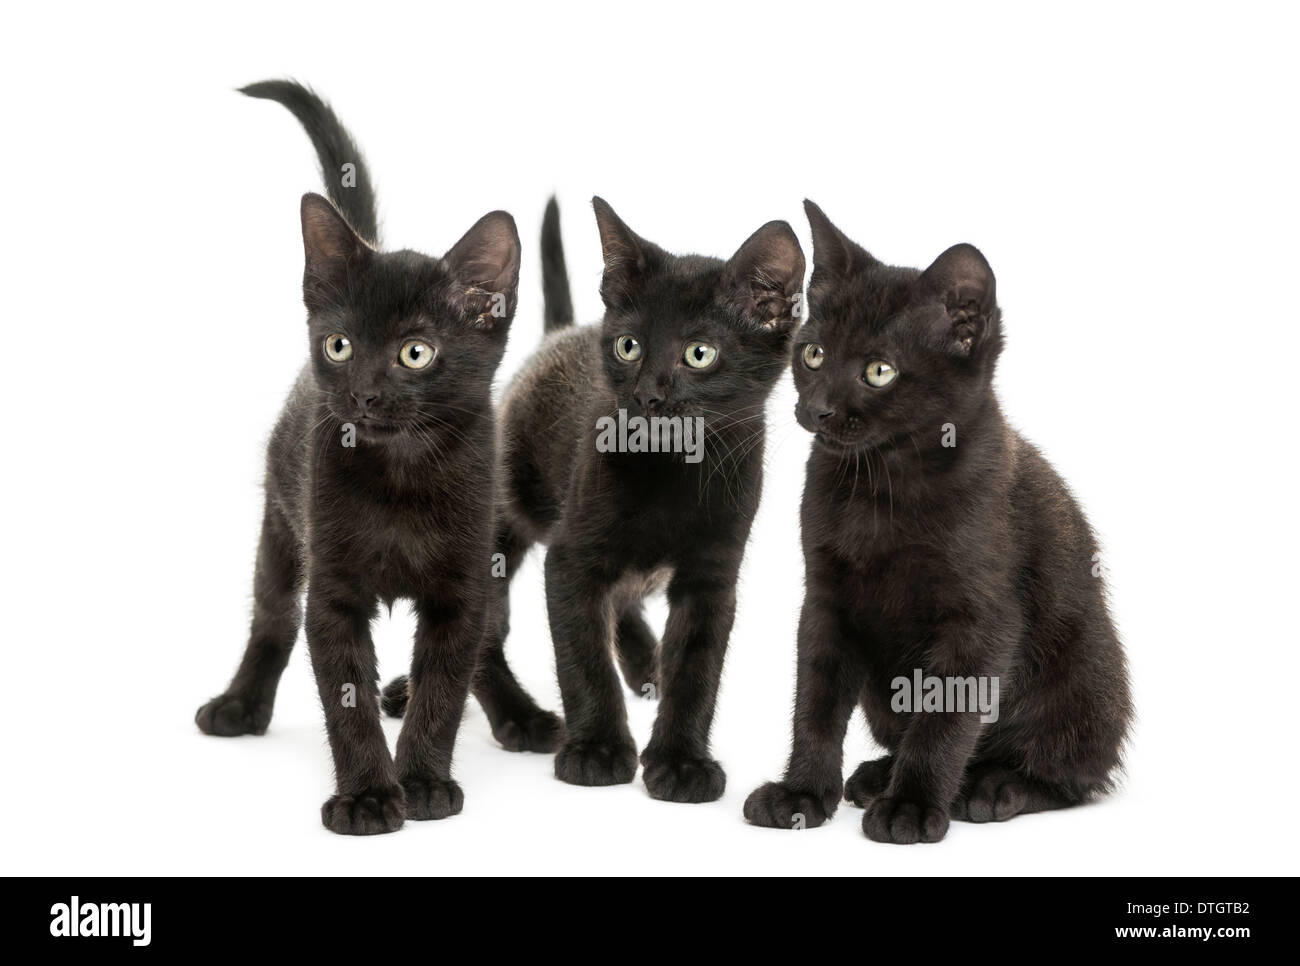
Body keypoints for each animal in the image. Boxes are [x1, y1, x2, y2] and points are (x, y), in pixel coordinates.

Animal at [192, 83, 548, 837]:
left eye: (416, 351)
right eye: (340, 345)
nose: (361, 393)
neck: (402, 475)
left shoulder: (462, 588)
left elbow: (445, 685)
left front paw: (423, 783)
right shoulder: (331, 593)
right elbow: (343, 694)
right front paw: (367, 797)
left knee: (486, 650)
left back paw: (521, 717)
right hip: (281, 522)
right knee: (271, 617)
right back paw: (240, 705)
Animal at [748, 204, 1133, 847]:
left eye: (879, 371)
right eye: (814, 354)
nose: (817, 409)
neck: (883, 484)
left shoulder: (981, 621)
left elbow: (945, 718)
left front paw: (912, 807)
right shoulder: (825, 602)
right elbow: (815, 705)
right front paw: (801, 794)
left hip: (1086, 677)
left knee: (1069, 774)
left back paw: (992, 788)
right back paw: (878, 775)